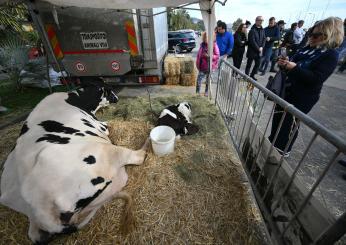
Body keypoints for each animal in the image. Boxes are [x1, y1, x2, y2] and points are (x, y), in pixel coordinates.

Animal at [0, 79, 147, 244]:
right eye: (109, 90)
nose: (117, 98)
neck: (77, 99)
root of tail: (38, 209)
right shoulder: (101, 125)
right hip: (104, 152)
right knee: (135, 157)